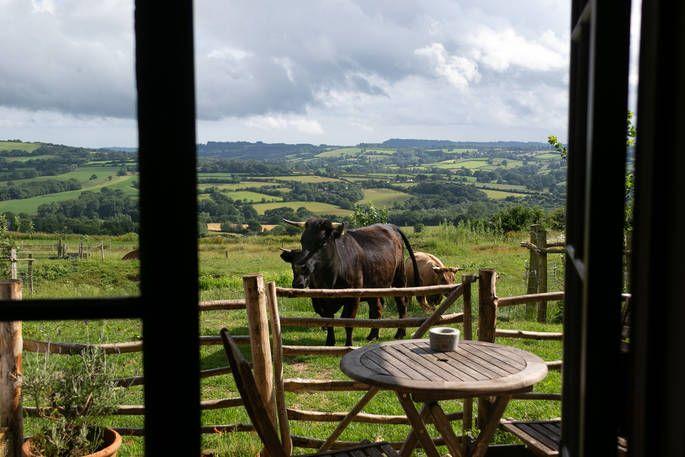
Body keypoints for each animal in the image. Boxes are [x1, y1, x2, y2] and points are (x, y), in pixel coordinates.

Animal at [280, 217, 420, 346]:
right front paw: (330, 343)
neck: (330, 279)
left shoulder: (353, 298)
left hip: (399, 277)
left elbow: (348, 321)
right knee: (377, 308)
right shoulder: (322, 299)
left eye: (323, 242)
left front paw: (348, 345)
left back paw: (400, 333)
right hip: (375, 285)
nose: (300, 266)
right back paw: (372, 335)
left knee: (401, 304)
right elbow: (329, 320)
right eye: (302, 241)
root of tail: (390, 226)